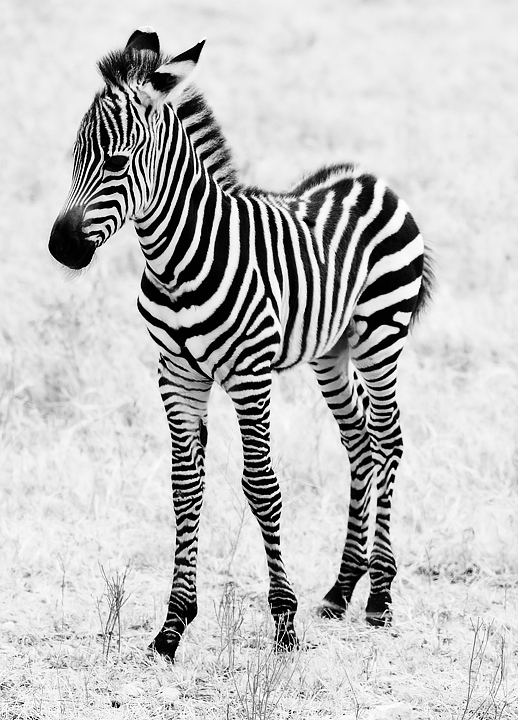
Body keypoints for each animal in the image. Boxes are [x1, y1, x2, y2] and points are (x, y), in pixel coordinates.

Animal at [49, 27, 433, 662]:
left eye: (117, 161)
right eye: (74, 156)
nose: (61, 248)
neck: (177, 263)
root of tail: (369, 178)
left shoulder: (250, 375)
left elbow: (262, 488)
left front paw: (284, 623)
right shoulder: (176, 375)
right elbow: (185, 489)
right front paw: (172, 627)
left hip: (381, 335)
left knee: (389, 440)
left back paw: (379, 595)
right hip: (330, 352)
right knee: (358, 440)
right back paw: (341, 588)